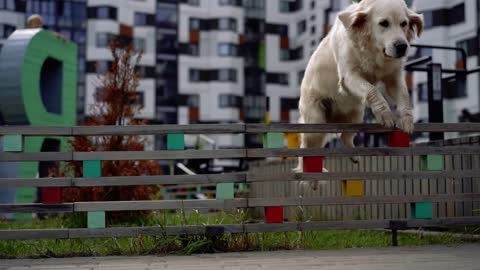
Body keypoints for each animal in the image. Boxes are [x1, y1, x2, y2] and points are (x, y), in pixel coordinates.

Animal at [296, 0, 424, 190]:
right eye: (383, 23)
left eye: (404, 23)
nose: (402, 46)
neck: (372, 49)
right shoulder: (349, 75)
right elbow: (372, 90)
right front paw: (385, 115)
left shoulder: (393, 76)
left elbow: (403, 96)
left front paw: (406, 119)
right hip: (315, 119)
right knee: (308, 148)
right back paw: (311, 179)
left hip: (355, 113)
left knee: (346, 135)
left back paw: (354, 154)